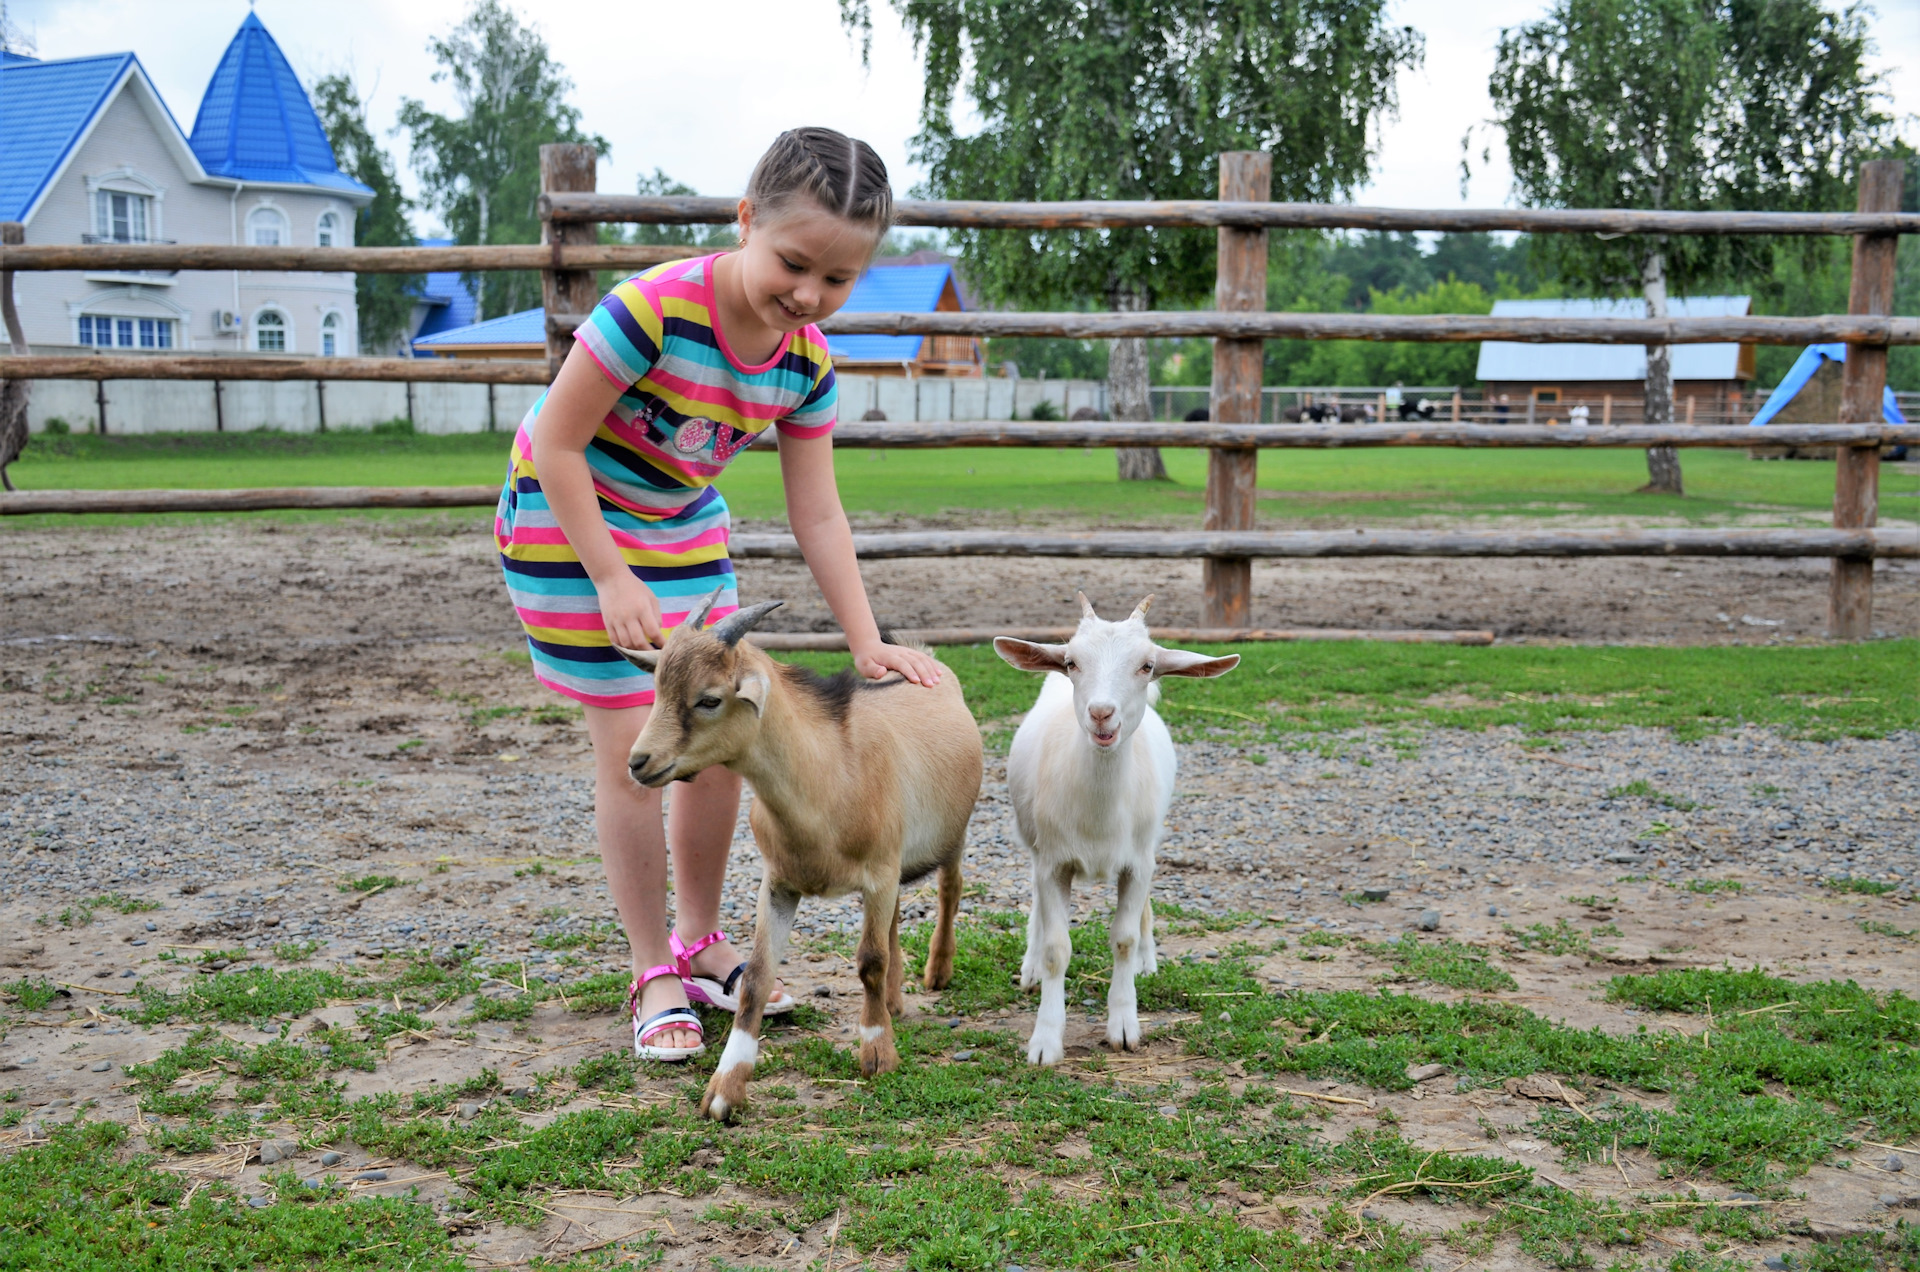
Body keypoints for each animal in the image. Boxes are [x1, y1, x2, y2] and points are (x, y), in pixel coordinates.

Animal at [614, 591, 983, 1122]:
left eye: (709, 699)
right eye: (658, 688)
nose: (639, 762)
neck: (828, 777)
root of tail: (925, 660)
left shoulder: (877, 871)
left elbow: (869, 961)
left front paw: (877, 1053)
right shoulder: (781, 883)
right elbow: (756, 977)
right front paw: (726, 1087)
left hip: (951, 833)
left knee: (949, 890)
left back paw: (936, 972)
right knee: (894, 919)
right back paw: (894, 1001)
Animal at [990, 599, 1244, 1068]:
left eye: (1147, 665)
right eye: (1071, 662)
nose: (1101, 713)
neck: (1099, 817)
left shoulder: (1137, 862)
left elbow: (1124, 938)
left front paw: (1124, 1025)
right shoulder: (1054, 862)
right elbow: (1057, 948)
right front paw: (1045, 1040)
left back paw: (1147, 959)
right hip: (1032, 839)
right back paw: (1029, 967)